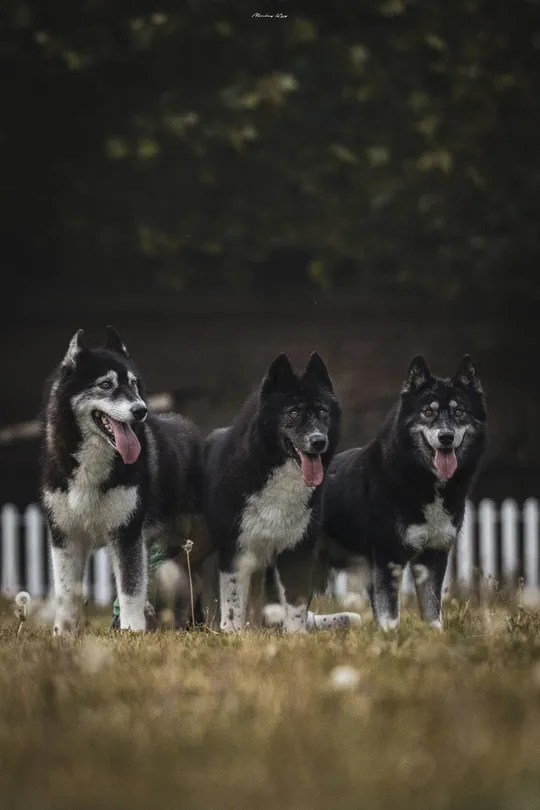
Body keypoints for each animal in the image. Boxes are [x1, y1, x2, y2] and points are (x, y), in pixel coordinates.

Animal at [40, 326, 205, 632]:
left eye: (133, 384)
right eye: (105, 384)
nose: (141, 410)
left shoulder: (127, 532)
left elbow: (130, 588)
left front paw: (132, 631)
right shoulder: (65, 535)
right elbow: (66, 593)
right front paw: (63, 633)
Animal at [200, 352, 360, 632]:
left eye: (323, 412)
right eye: (293, 412)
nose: (319, 441)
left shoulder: (297, 550)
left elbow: (295, 604)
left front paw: (297, 636)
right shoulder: (234, 550)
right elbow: (233, 604)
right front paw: (232, 635)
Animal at [318, 356, 488, 632]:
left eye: (459, 412)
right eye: (428, 412)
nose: (446, 436)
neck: (421, 480)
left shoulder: (433, 556)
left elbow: (432, 611)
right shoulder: (388, 556)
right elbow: (389, 612)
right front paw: (391, 637)